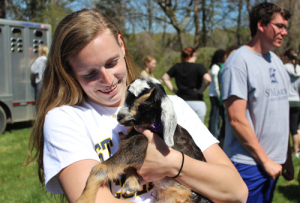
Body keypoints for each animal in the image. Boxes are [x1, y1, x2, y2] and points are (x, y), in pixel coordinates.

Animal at [75, 77, 211, 202]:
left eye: (146, 104)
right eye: (127, 95)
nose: (120, 117)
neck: (154, 127)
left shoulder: (139, 144)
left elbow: (100, 167)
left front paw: (84, 199)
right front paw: (131, 184)